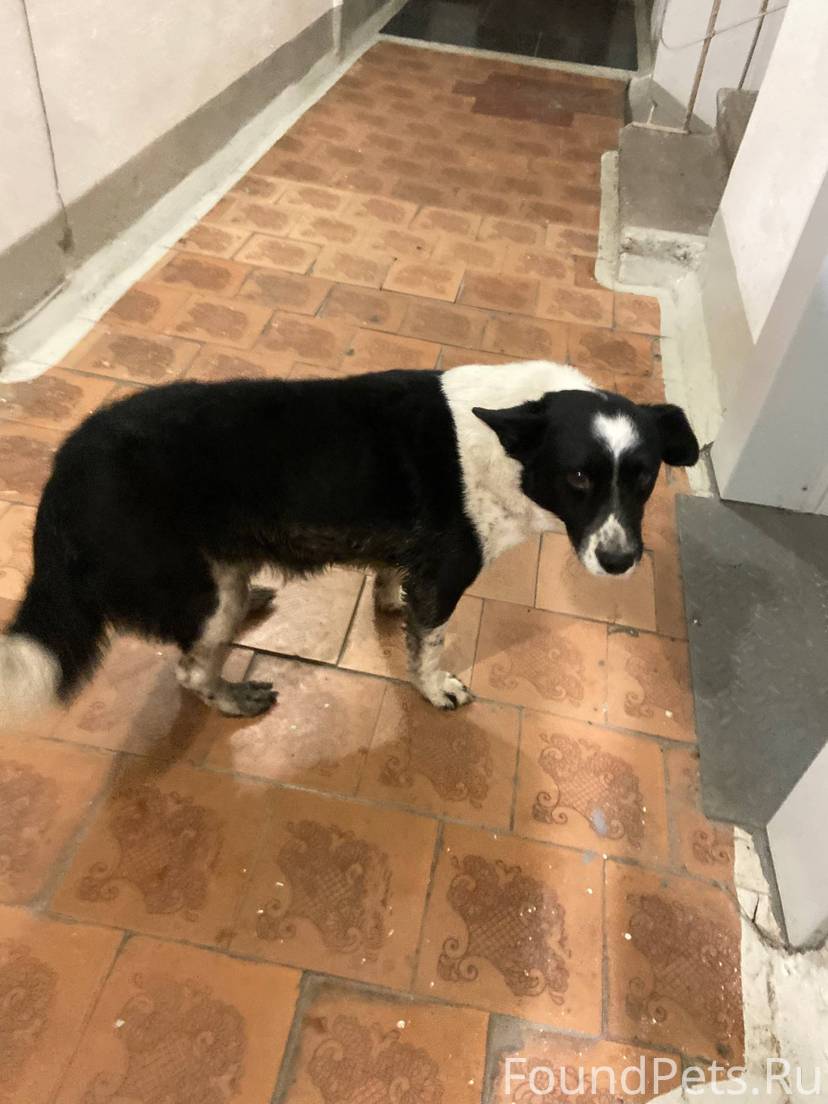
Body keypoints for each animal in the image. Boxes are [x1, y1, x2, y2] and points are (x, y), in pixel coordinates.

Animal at [0, 359, 698, 721]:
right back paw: (233, 697)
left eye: (644, 478)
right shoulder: (446, 576)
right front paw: (436, 689)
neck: (507, 443)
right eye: (578, 477)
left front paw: (388, 606)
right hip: (198, 596)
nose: (621, 561)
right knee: (190, 669)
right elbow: (429, 649)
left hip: (214, 580)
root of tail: (62, 474)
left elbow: (393, 590)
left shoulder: (413, 562)